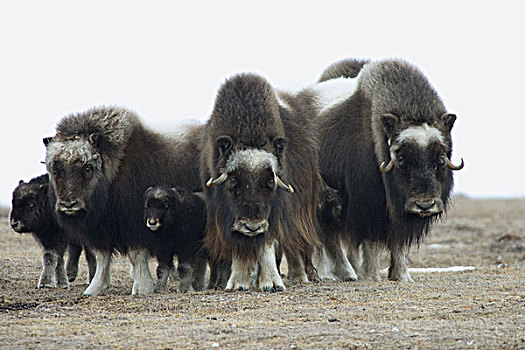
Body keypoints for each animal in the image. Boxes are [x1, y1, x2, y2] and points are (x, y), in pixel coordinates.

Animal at [44, 106, 203, 296]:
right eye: (56, 170)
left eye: (87, 168)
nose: (69, 204)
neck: (112, 175)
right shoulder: (101, 230)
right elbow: (102, 258)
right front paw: (94, 289)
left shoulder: (136, 226)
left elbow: (136, 256)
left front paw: (142, 288)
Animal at [203, 72, 322, 292]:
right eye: (233, 180)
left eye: (270, 181)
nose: (252, 226)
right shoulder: (225, 211)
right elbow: (239, 243)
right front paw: (238, 283)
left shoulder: (275, 209)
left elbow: (267, 243)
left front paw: (272, 284)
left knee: (294, 242)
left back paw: (300, 277)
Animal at [294, 58, 462, 282]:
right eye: (401, 157)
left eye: (441, 158)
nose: (425, 205)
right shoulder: (368, 204)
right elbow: (371, 241)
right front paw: (371, 275)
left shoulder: (398, 213)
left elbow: (398, 243)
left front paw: (401, 276)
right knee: (327, 238)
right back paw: (341, 273)